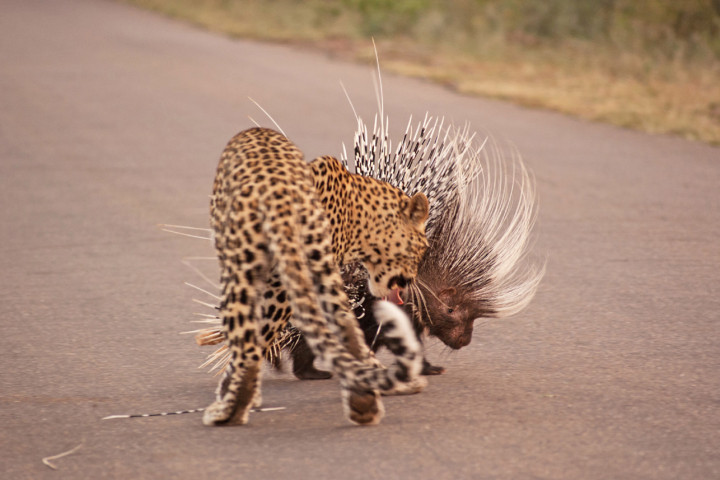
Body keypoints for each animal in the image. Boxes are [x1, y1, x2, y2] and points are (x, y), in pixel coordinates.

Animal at [200, 125, 430, 426]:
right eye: (424, 249)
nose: (412, 281)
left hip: (254, 277)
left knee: (254, 343)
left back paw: (231, 410)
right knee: (341, 331)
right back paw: (364, 403)